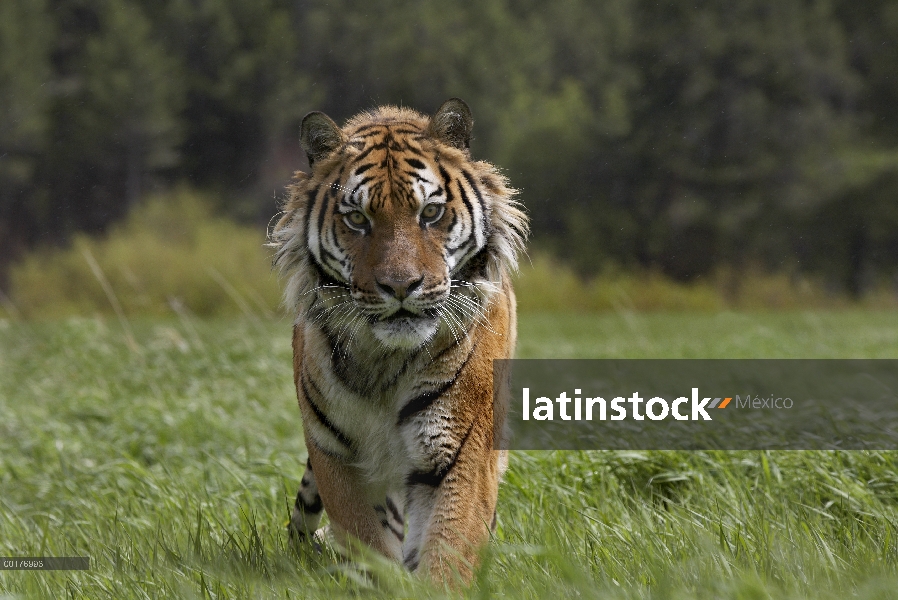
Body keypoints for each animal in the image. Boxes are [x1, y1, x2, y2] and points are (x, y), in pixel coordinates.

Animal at [270, 99, 528, 584]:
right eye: (357, 219)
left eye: (430, 213)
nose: (401, 286)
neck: (385, 361)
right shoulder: (339, 456)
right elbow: (368, 543)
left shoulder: (457, 449)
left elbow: (448, 544)